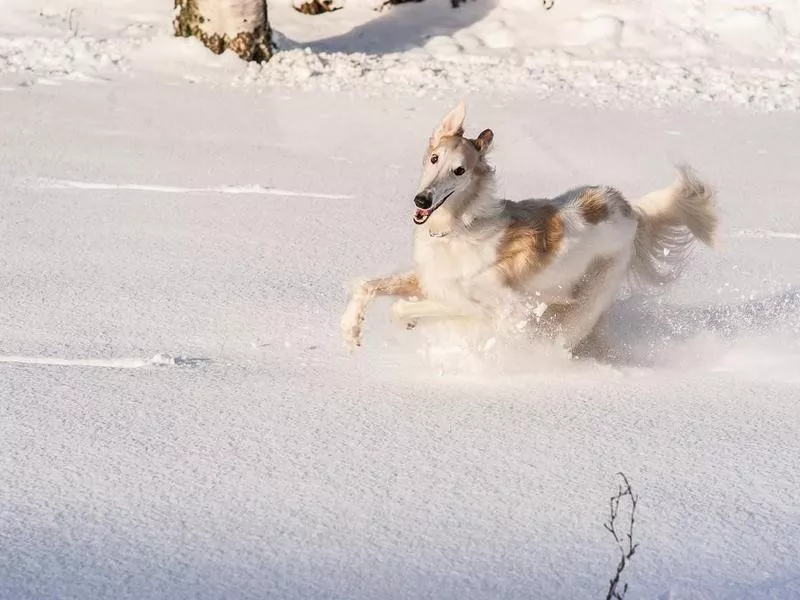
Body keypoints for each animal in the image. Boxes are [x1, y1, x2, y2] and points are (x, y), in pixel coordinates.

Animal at [340, 99, 716, 356]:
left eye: (460, 171)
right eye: (434, 160)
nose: (422, 200)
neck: (461, 228)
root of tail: (626, 206)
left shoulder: (492, 307)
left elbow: (400, 307)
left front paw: (406, 320)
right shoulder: (430, 280)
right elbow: (367, 286)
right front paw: (350, 331)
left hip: (586, 302)